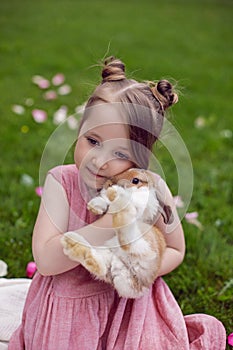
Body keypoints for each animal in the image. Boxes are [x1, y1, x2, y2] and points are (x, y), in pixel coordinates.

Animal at [61, 169, 170, 298]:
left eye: (135, 180)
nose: (109, 184)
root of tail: (140, 284)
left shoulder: (145, 202)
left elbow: (137, 201)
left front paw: (117, 193)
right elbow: (105, 202)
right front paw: (95, 205)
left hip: (148, 243)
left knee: (129, 243)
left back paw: (118, 200)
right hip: (111, 258)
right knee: (101, 266)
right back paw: (73, 244)